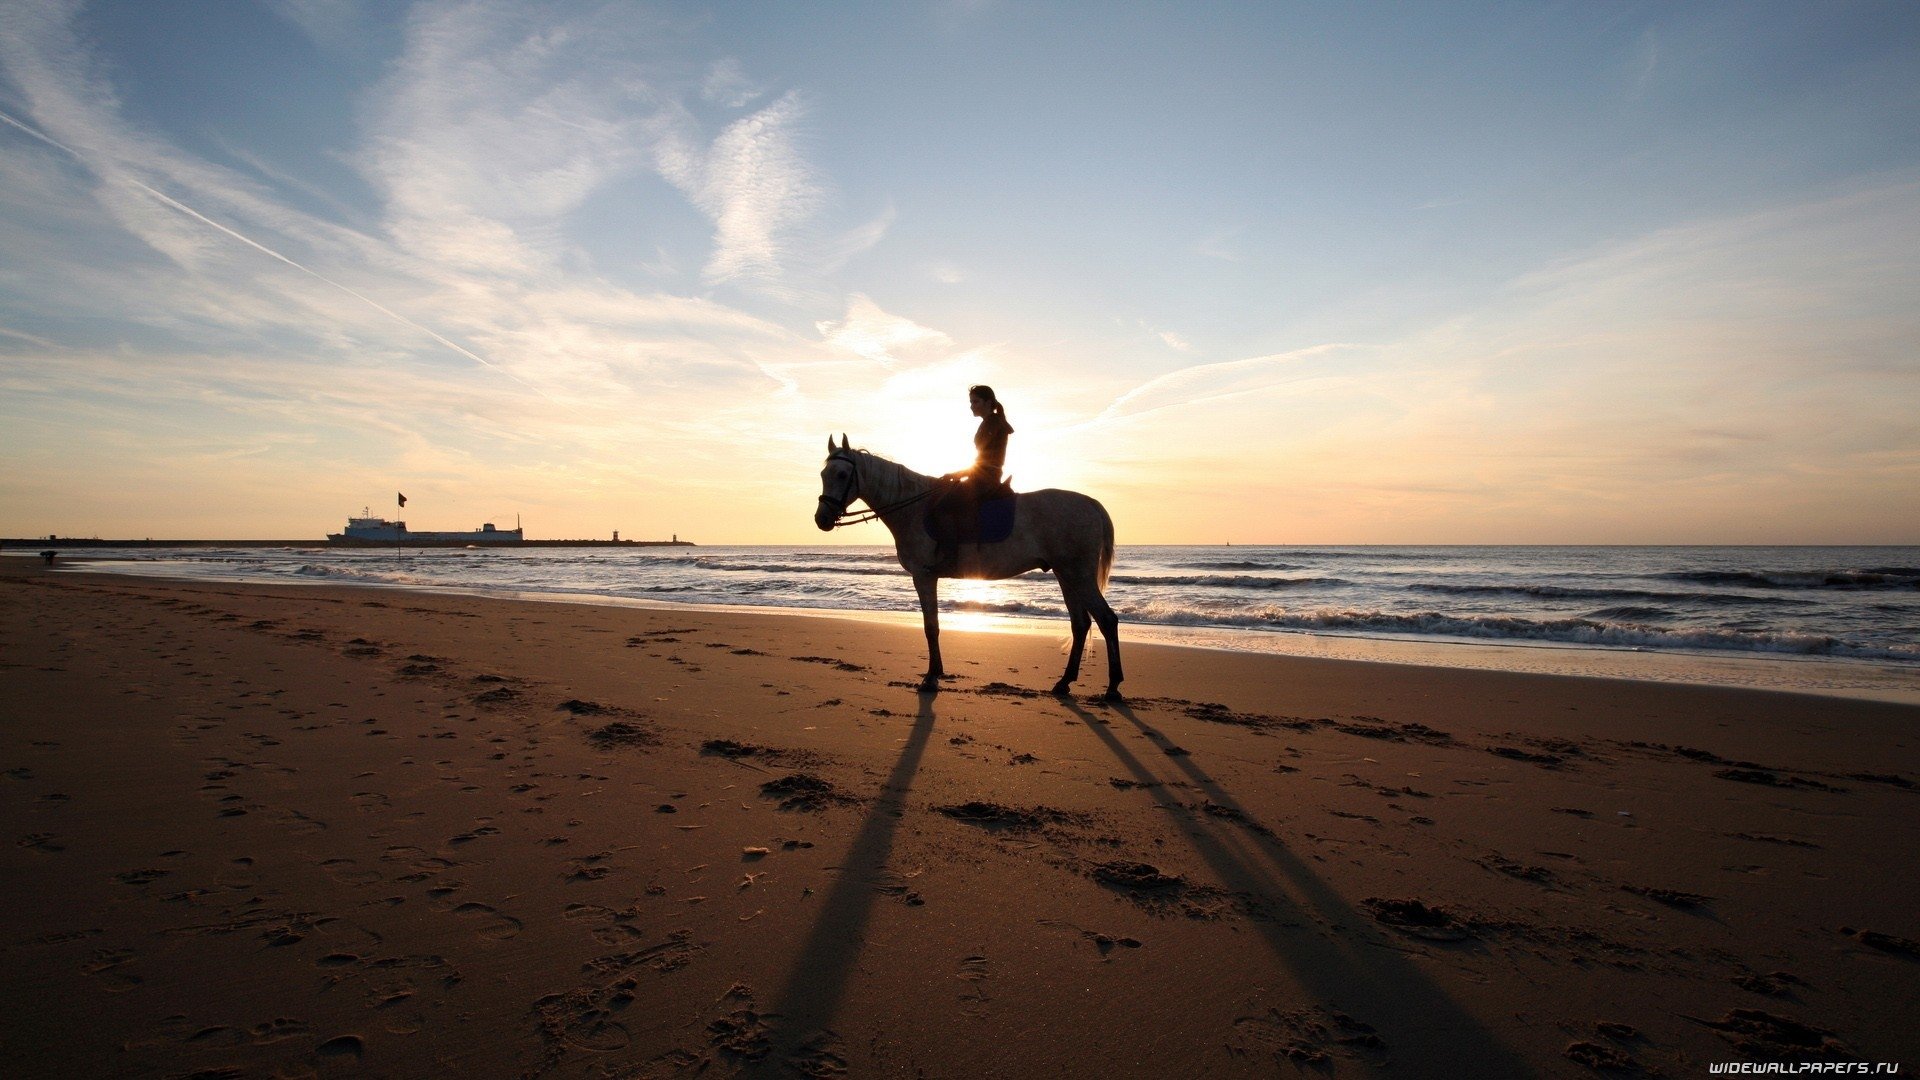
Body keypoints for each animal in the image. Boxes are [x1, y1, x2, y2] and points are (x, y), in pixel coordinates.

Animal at [814, 435, 1124, 700]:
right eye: (823, 475)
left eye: (842, 475)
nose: (822, 519)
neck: (913, 508)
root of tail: (1091, 504)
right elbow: (933, 625)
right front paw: (936, 672)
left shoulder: (924, 576)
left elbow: (931, 627)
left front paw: (931, 677)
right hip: (1065, 575)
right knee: (1080, 624)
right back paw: (1064, 683)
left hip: (1078, 575)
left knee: (1106, 620)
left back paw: (1113, 687)